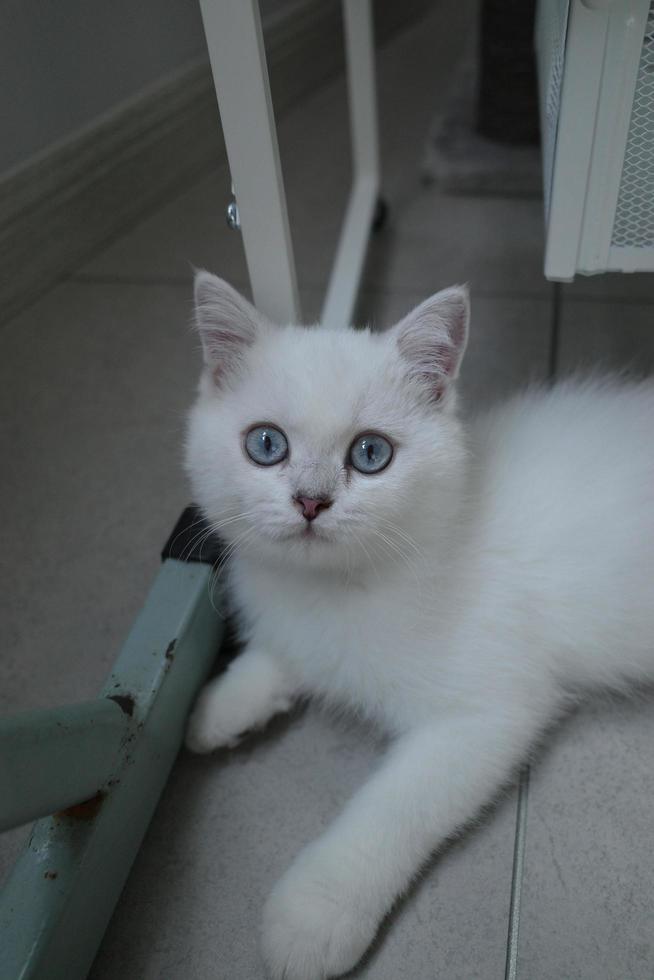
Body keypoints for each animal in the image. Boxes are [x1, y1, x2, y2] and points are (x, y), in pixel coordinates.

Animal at [183, 272, 654, 980]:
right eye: (265, 444)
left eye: (370, 453)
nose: (311, 501)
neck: (341, 587)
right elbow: (279, 655)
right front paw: (217, 707)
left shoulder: (485, 714)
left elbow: (391, 810)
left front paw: (314, 914)